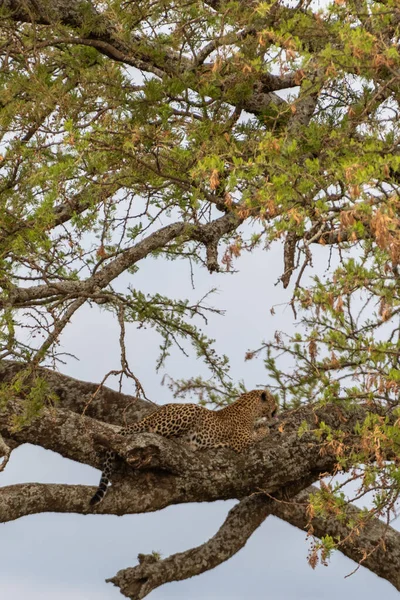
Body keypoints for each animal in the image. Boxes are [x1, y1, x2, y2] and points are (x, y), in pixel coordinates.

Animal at [90, 390, 278, 506]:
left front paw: (266, 423)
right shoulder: (241, 441)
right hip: (188, 412)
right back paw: (185, 442)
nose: (278, 407)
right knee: (154, 431)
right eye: (274, 400)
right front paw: (266, 427)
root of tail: (153, 413)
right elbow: (258, 434)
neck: (250, 408)